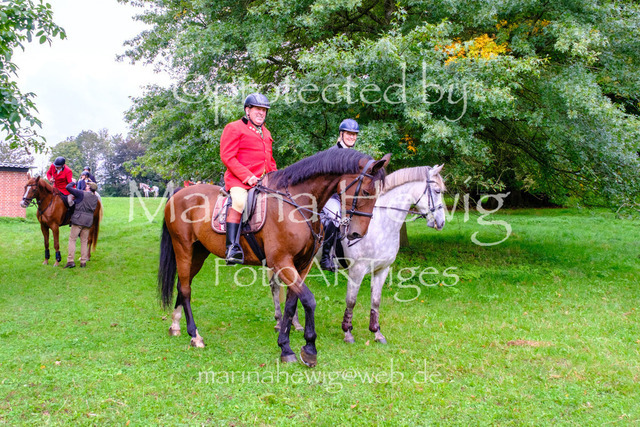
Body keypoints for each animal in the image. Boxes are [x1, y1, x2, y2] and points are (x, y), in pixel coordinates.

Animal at [158, 148, 390, 367]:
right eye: (366, 191)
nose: (357, 234)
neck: (298, 204)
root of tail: (181, 192)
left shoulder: (301, 265)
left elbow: (291, 303)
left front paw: (285, 346)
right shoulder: (282, 263)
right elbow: (309, 300)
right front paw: (309, 348)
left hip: (199, 252)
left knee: (183, 285)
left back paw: (175, 325)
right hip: (183, 248)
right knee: (185, 288)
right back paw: (195, 335)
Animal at [270, 165, 446, 344]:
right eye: (437, 191)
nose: (441, 222)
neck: (380, 225)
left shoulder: (382, 270)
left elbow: (376, 301)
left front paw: (377, 333)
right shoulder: (357, 270)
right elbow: (351, 300)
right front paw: (348, 332)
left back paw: (294, 324)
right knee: (276, 285)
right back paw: (280, 322)